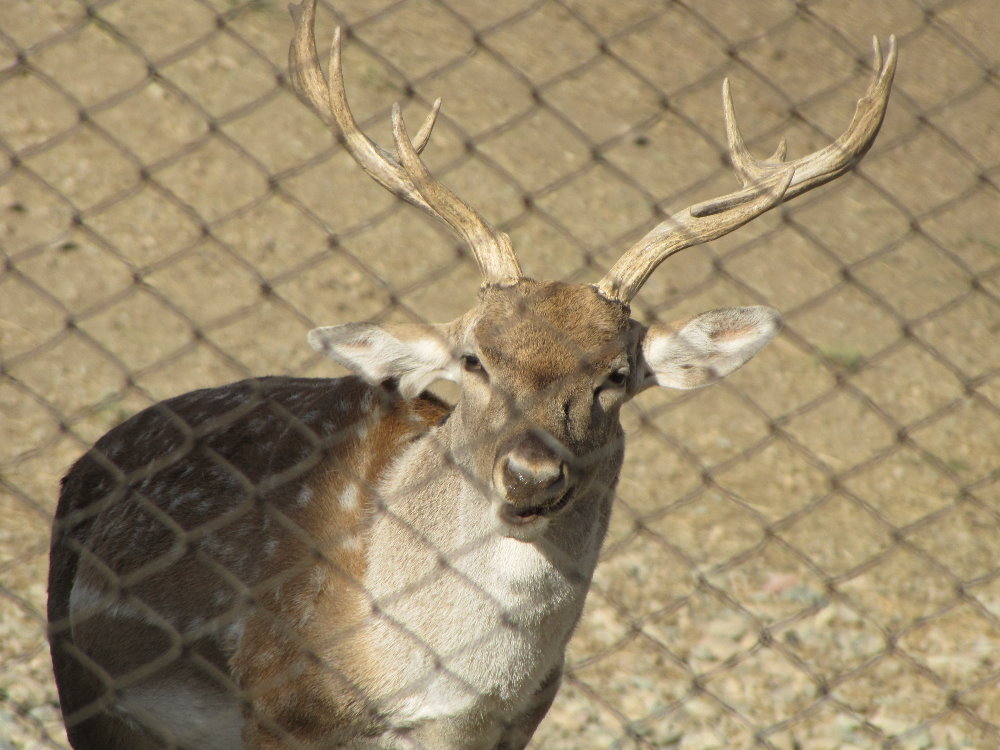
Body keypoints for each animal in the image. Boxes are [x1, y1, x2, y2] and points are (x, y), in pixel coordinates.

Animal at [47, 2, 897, 747]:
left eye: (616, 375)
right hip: (84, 681)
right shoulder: (283, 702)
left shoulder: (517, 723)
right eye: (472, 359)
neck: (442, 692)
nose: (530, 475)